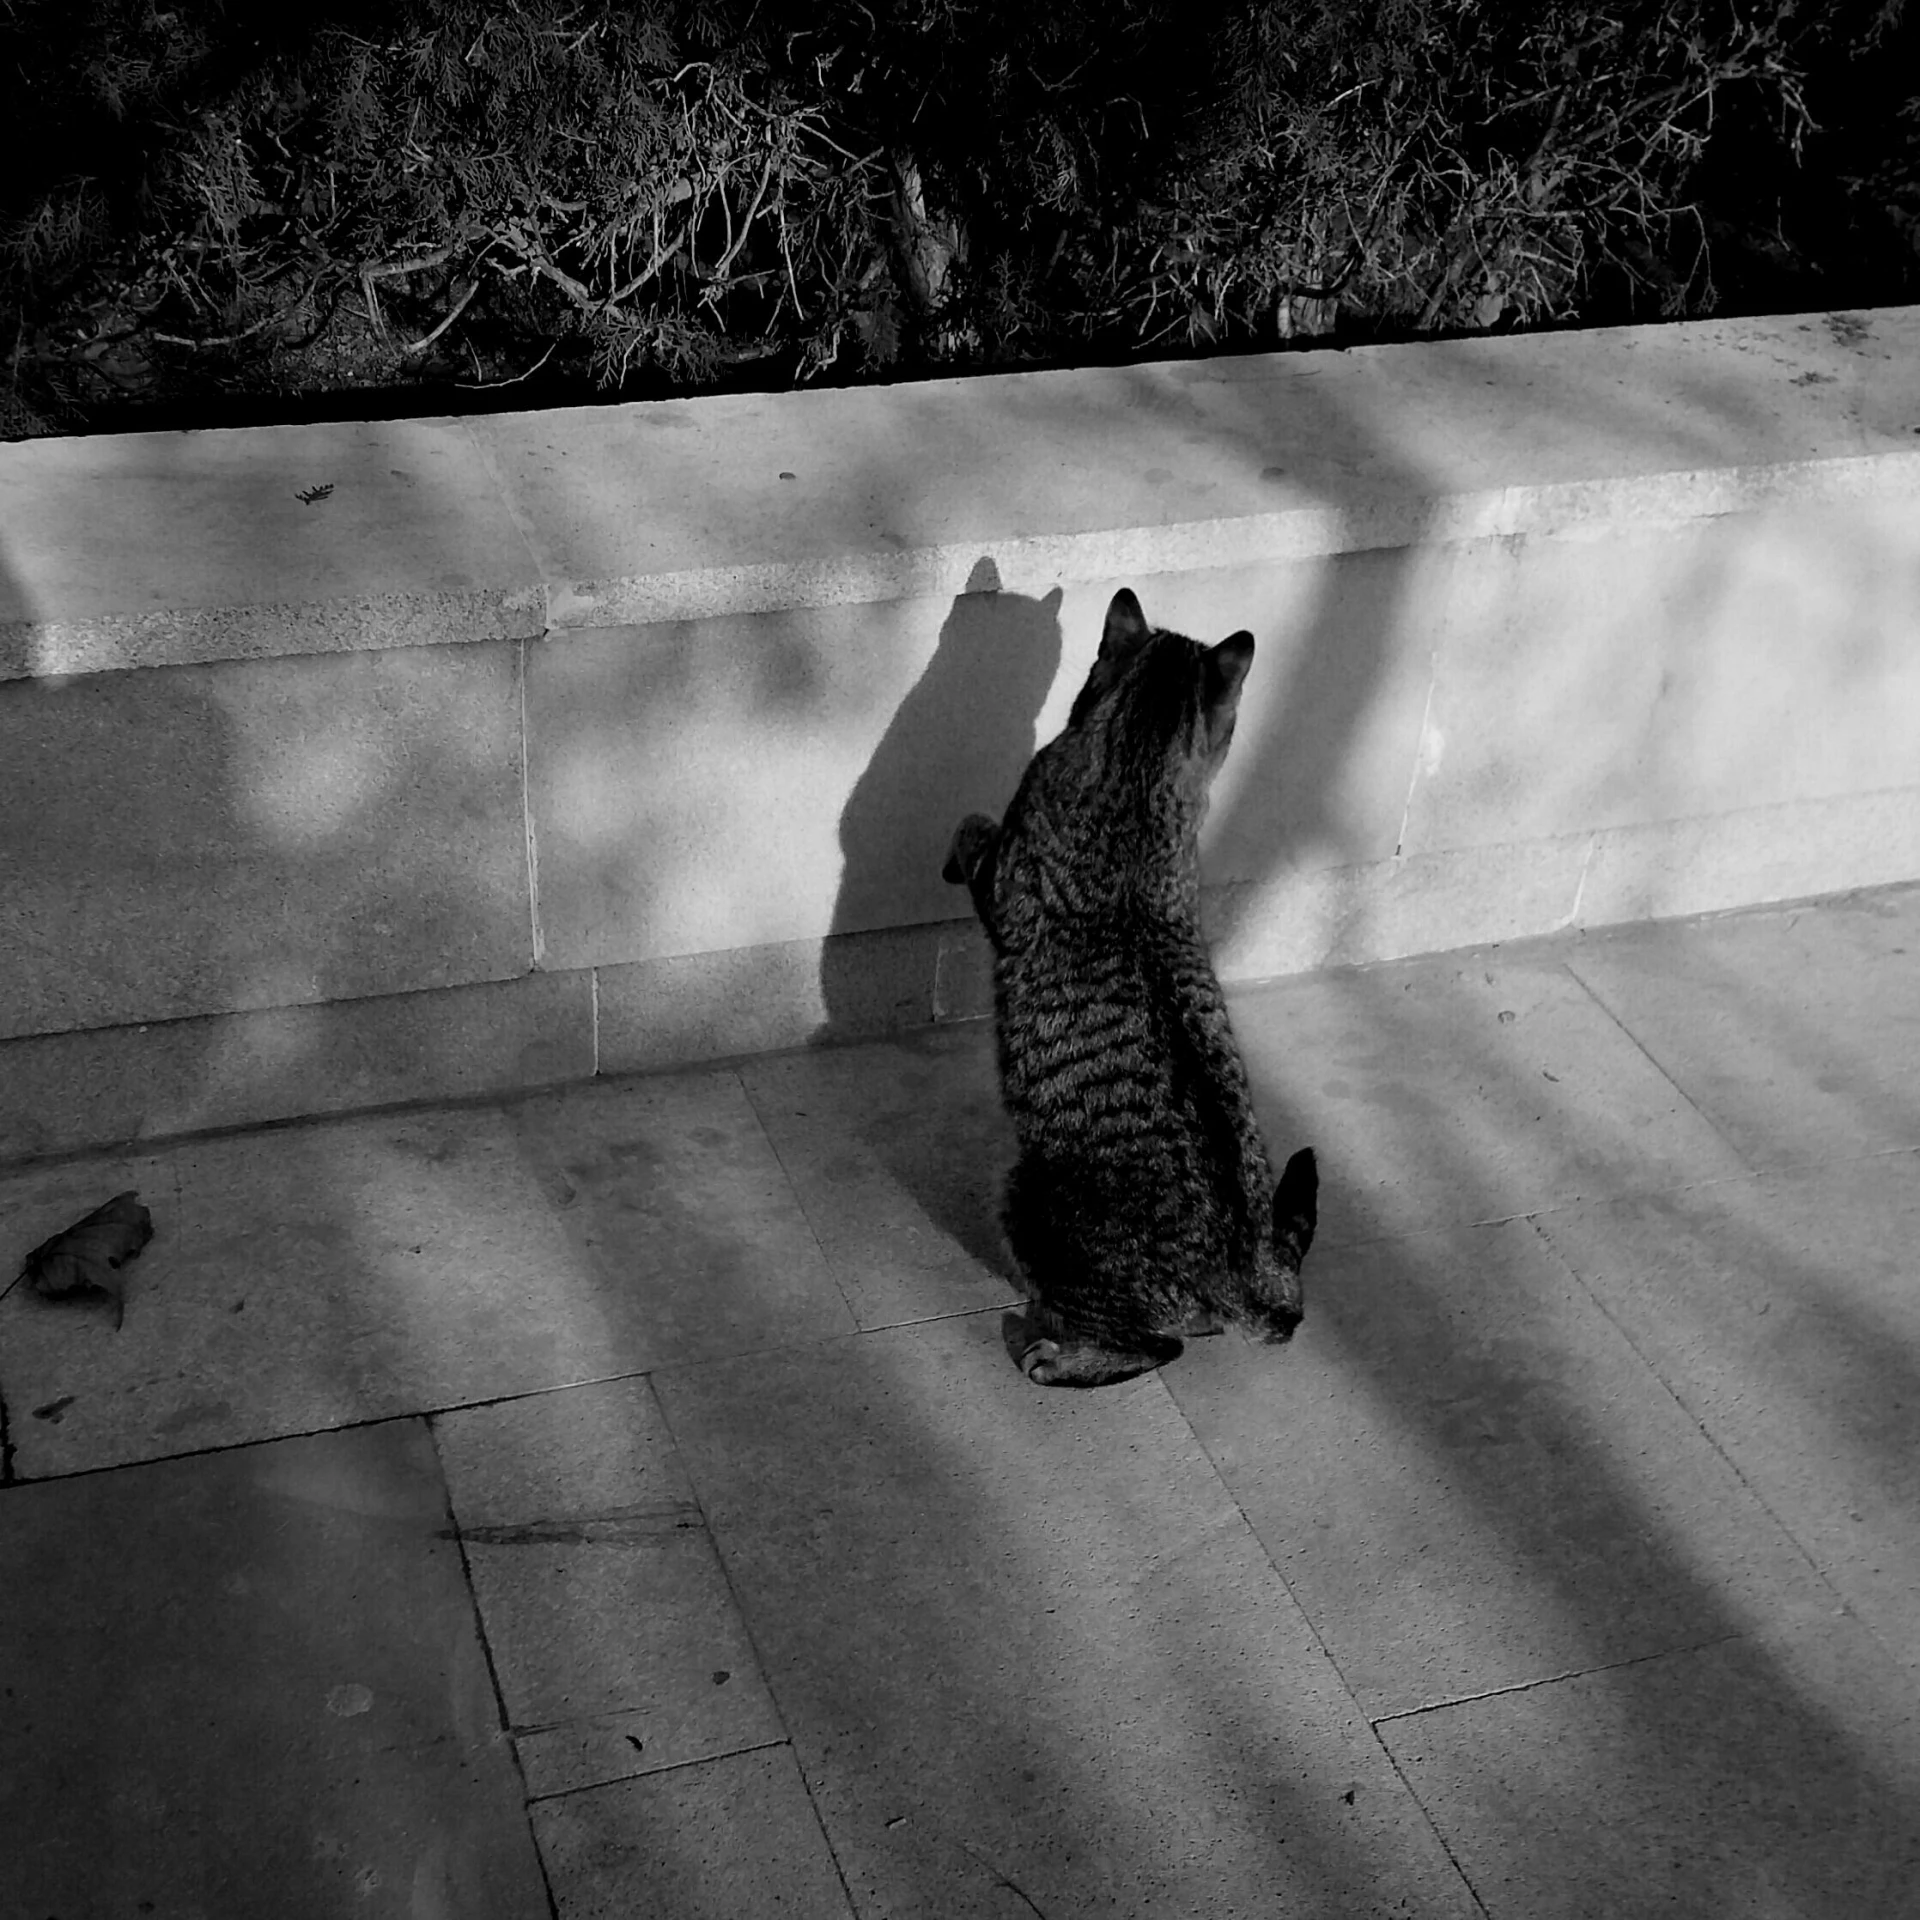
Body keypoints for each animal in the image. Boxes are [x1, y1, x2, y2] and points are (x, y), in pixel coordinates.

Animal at [936, 583, 1313, 1382]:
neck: (1136, 767)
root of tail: (1245, 1272)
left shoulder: (1000, 879)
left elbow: (973, 824)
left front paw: (956, 849)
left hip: (1028, 1195)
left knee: (1155, 1344)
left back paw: (1060, 1357)